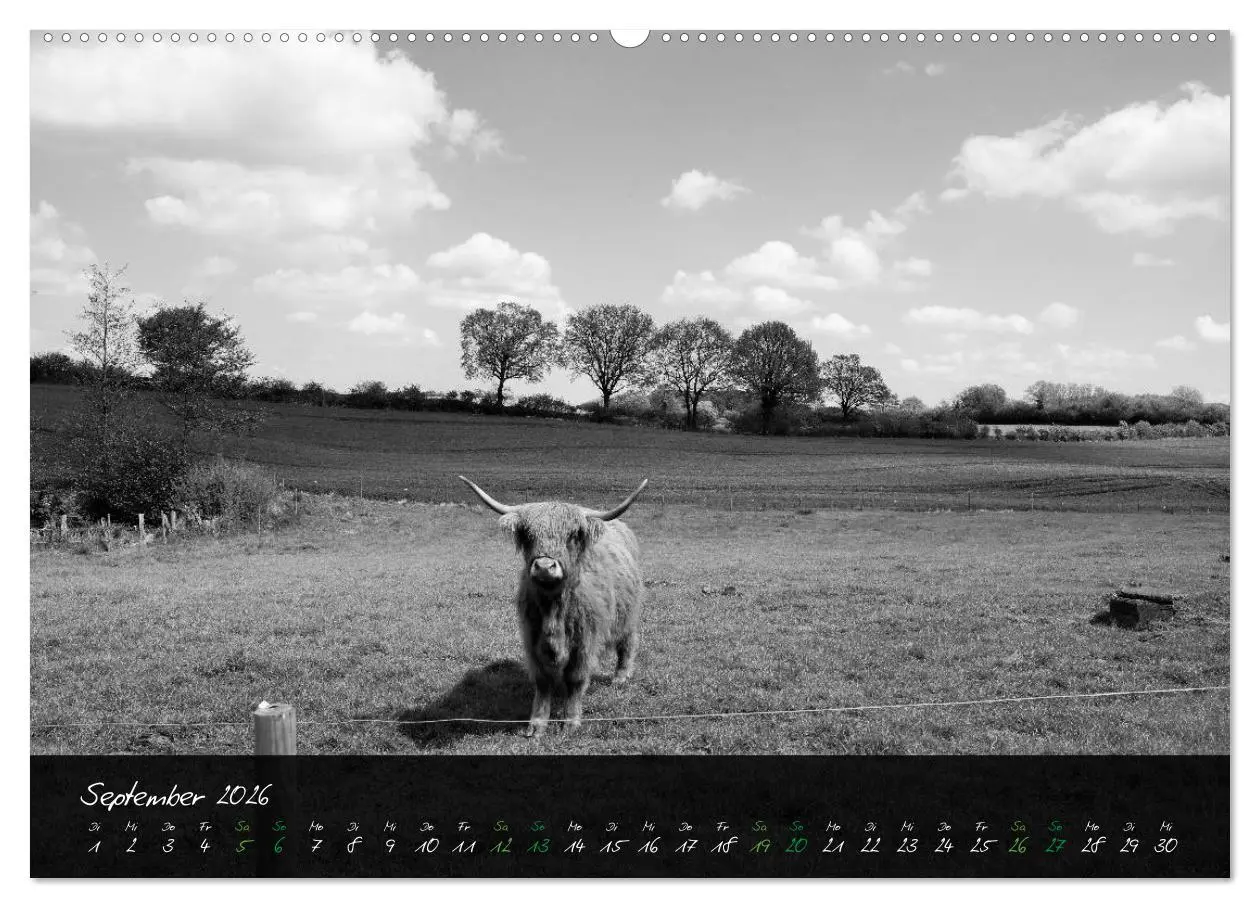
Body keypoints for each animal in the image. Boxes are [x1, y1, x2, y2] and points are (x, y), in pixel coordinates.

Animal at [458, 476, 648, 737]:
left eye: (573, 534)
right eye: (527, 534)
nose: (545, 567)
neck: (553, 611)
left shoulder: (585, 641)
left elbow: (576, 679)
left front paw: (571, 721)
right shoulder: (532, 638)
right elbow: (543, 681)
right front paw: (537, 725)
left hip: (628, 614)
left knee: (627, 642)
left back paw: (621, 677)